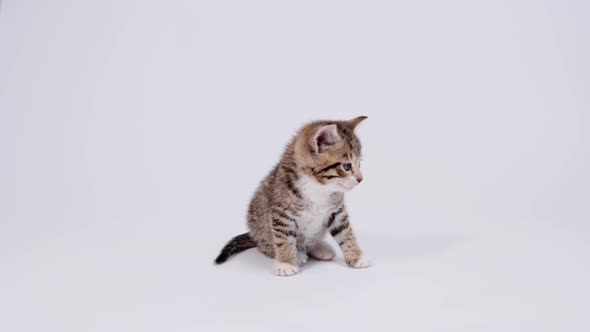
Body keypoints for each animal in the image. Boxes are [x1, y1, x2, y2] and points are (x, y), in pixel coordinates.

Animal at [213, 115, 372, 276]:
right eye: (347, 166)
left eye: (359, 164)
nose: (361, 179)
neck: (317, 187)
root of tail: (253, 235)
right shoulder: (281, 213)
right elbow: (283, 237)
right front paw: (286, 263)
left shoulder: (337, 211)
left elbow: (345, 232)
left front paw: (356, 256)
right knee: (267, 246)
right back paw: (298, 255)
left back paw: (319, 248)